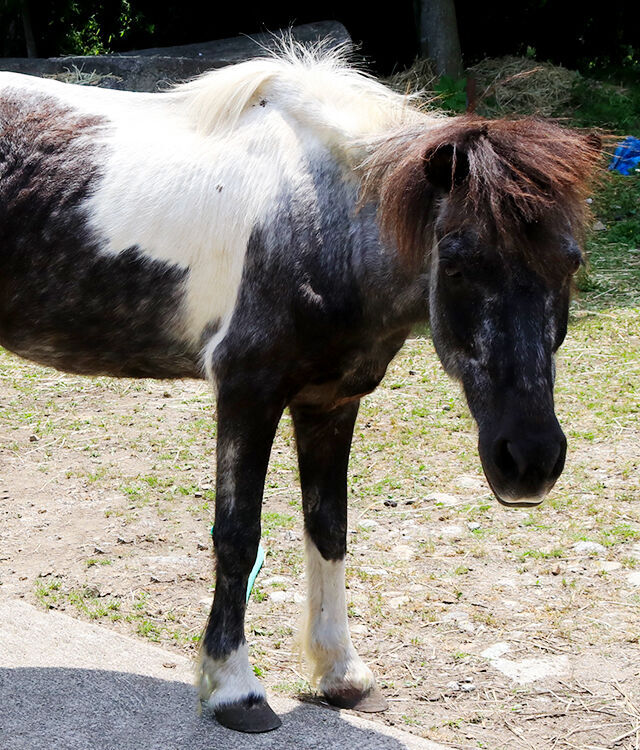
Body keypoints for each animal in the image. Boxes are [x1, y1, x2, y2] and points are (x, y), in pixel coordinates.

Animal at [0, 47, 600, 736]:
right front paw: (235, 690)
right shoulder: (247, 393)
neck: (323, 219)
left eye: (572, 261)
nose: (528, 461)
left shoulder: (329, 402)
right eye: (454, 262)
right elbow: (237, 536)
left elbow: (328, 527)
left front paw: (340, 672)